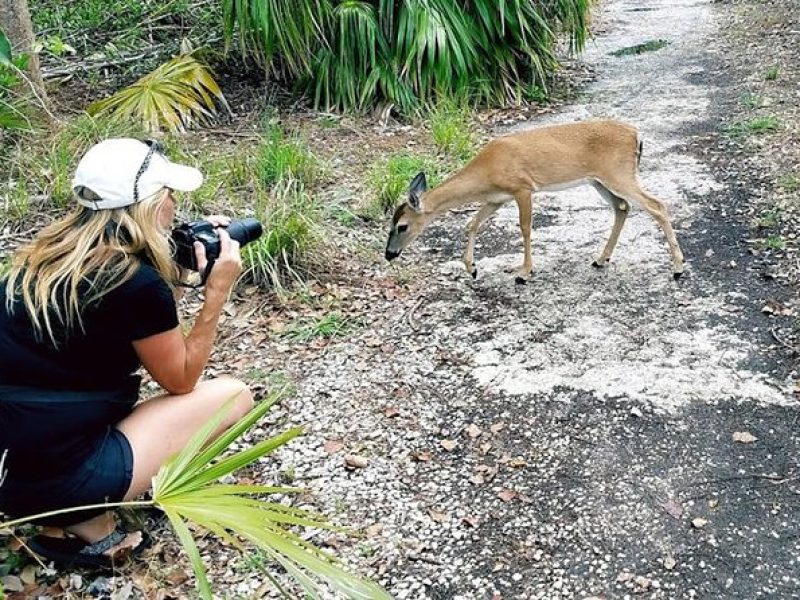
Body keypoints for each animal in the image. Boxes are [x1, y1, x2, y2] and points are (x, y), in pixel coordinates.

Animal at [384, 120, 684, 284]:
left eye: (402, 226)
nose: (389, 254)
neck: (486, 171)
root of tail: (637, 134)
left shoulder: (522, 187)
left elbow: (525, 228)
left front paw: (524, 272)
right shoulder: (497, 198)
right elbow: (472, 223)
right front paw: (472, 269)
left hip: (618, 173)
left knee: (657, 205)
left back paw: (678, 268)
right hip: (599, 179)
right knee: (622, 207)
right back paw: (601, 259)